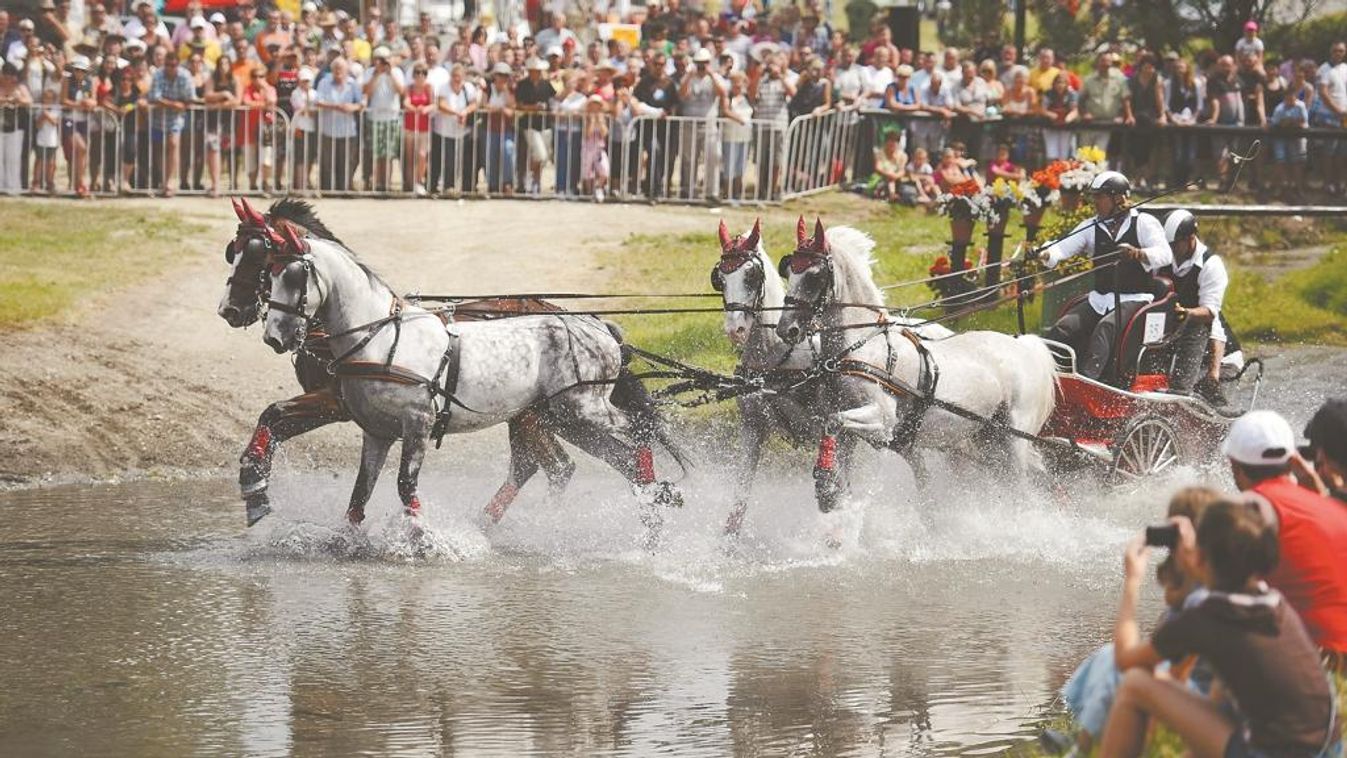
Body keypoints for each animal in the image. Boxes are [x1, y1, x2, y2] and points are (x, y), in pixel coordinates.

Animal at [711, 216, 953, 530]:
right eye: (720, 278)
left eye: (751, 275)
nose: (735, 329)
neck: (776, 360)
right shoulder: (752, 428)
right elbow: (740, 494)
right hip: (904, 437)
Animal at [775, 216, 1056, 506]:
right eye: (789, 271)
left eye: (814, 275)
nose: (787, 329)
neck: (864, 346)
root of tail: (1025, 346)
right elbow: (834, 436)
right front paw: (832, 488)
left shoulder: (883, 421)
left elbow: (833, 421)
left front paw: (826, 485)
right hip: (985, 441)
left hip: (1013, 443)